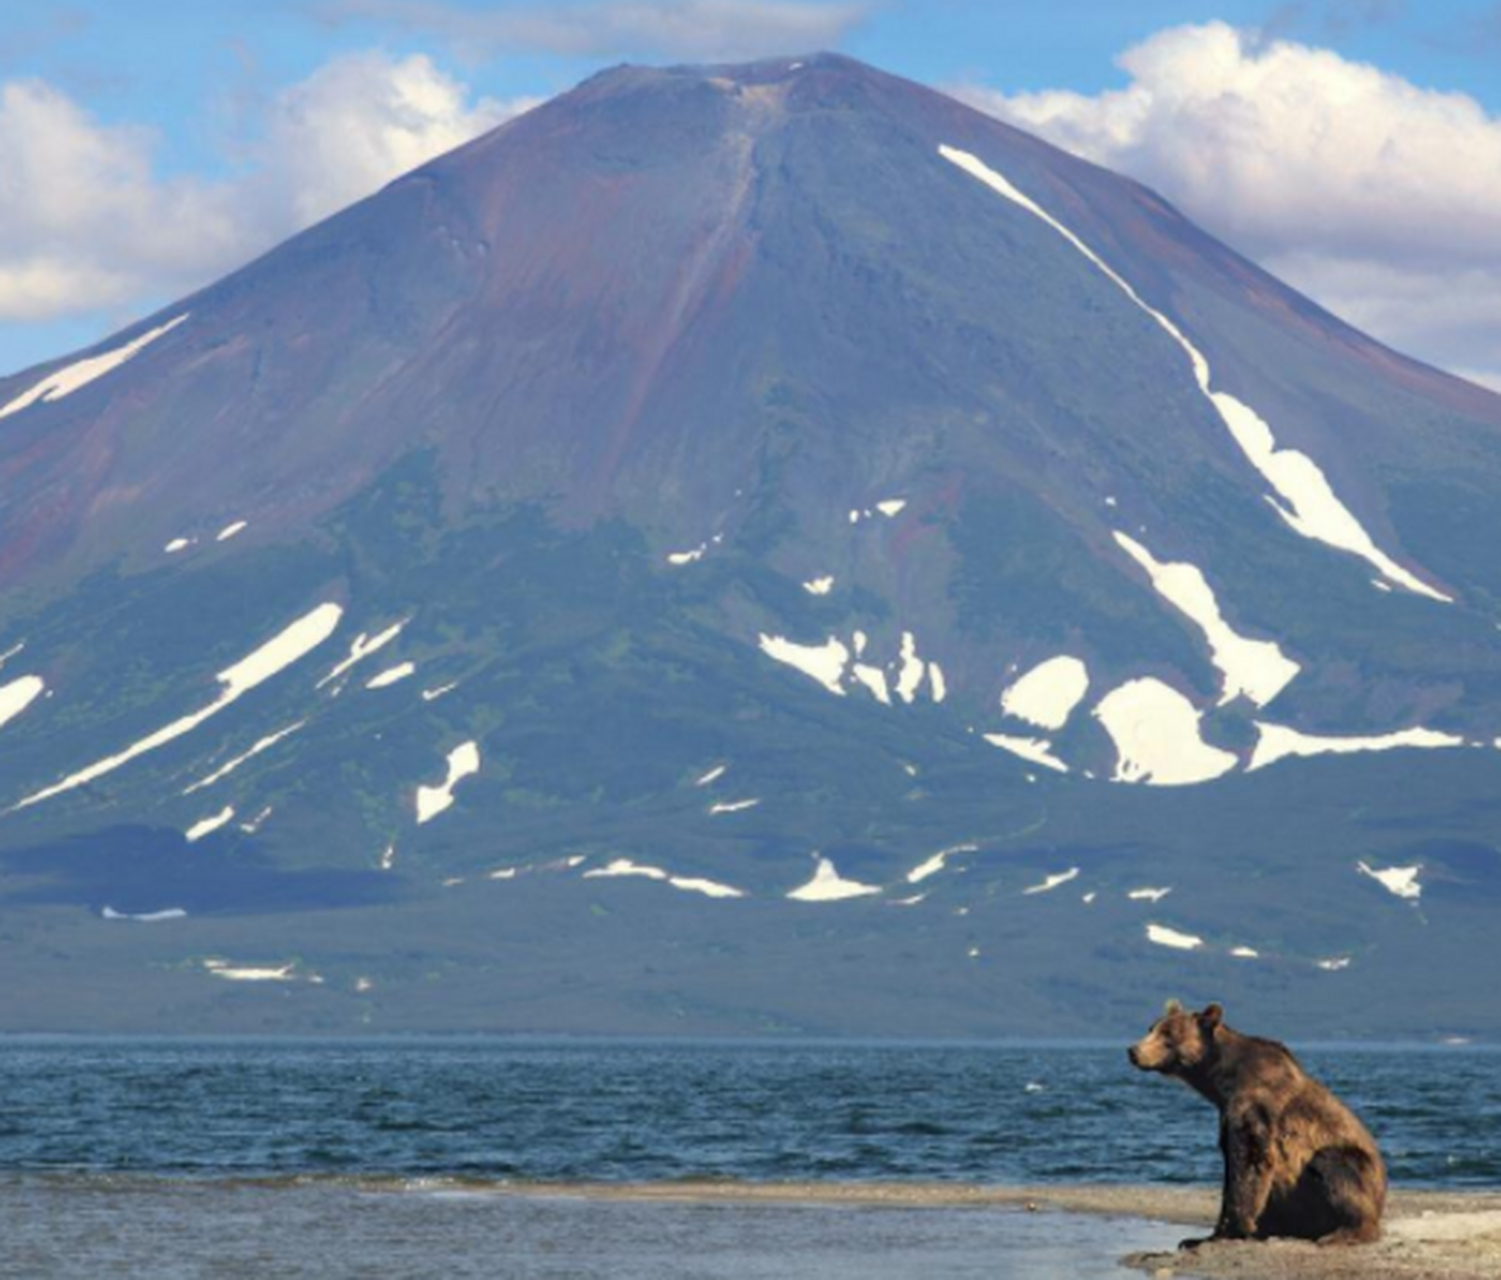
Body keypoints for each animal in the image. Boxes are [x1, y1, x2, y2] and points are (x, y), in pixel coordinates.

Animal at [1128, 996, 1380, 1248]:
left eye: (1168, 1033)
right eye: (1151, 1028)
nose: (1133, 1051)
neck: (1221, 1081)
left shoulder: (1255, 1104)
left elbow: (1249, 1159)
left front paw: (1229, 1231)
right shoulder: (1226, 1111)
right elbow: (1230, 1165)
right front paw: (1200, 1236)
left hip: (1355, 1169)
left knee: (1333, 1165)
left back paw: (1342, 1233)